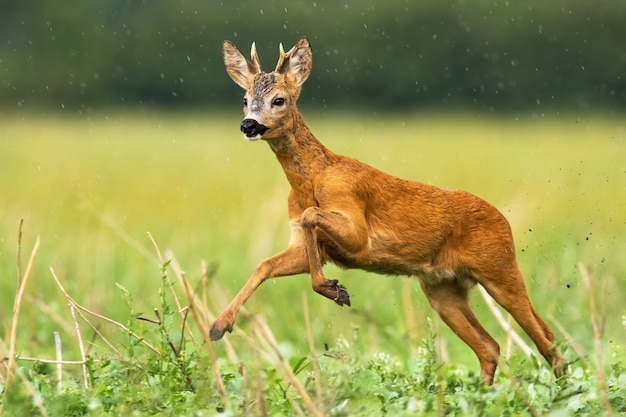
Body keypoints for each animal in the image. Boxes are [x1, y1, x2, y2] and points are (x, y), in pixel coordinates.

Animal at [211, 35, 564, 384]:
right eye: (245, 99)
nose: (248, 124)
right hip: (442, 288)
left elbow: (313, 218)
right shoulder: (303, 241)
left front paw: (334, 290)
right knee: (489, 346)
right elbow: (264, 265)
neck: (312, 183)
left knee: (546, 338)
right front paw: (218, 326)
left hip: (500, 268)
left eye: (279, 100)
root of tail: (505, 222)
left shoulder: (357, 230)